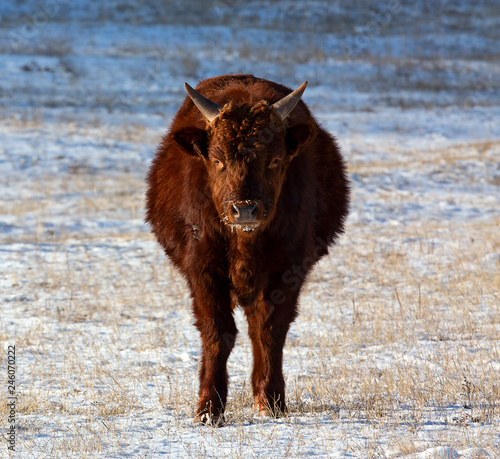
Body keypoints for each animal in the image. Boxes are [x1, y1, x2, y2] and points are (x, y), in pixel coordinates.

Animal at [145, 74, 350, 424]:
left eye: (275, 160)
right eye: (217, 160)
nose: (245, 210)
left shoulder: (287, 272)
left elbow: (269, 329)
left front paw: (270, 400)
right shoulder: (203, 272)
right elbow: (217, 332)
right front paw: (208, 409)